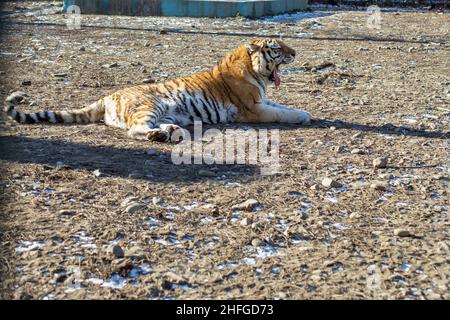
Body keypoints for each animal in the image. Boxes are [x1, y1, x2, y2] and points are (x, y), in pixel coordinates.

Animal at [3, 38, 312, 141]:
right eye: (277, 48)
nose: (296, 52)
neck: (254, 71)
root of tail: (106, 95)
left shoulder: (263, 100)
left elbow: (283, 107)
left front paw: (305, 111)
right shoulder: (252, 109)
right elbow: (281, 114)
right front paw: (303, 117)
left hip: (168, 111)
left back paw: (170, 132)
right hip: (149, 106)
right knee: (134, 130)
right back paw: (159, 136)